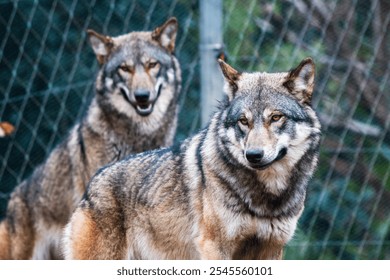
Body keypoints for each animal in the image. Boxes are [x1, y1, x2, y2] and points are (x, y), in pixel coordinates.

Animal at [63, 57, 320, 260]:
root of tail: (92, 184)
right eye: (243, 122)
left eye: (276, 117)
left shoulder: (271, 249)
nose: (253, 155)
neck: (268, 199)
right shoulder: (214, 247)